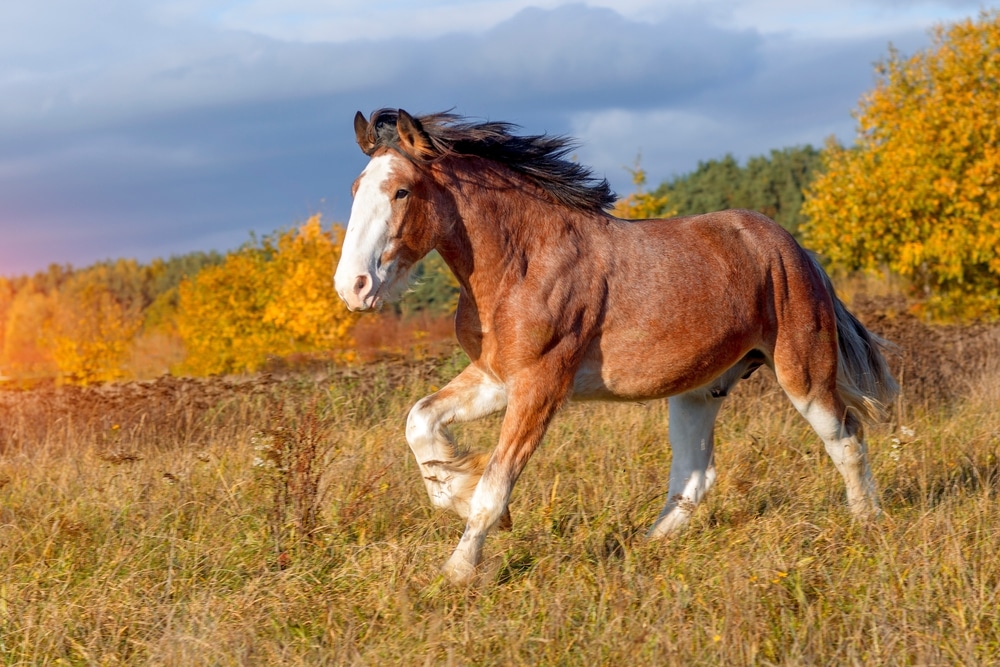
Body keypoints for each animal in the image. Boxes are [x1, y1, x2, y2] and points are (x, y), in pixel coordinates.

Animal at [334, 108, 900, 584]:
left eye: (402, 192)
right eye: (356, 188)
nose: (353, 287)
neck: (523, 262)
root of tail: (796, 250)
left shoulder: (541, 384)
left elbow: (496, 485)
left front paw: (457, 571)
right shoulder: (497, 378)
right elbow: (420, 419)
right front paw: (451, 489)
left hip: (802, 373)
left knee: (846, 438)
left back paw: (868, 525)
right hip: (697, 391)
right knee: (695, 476)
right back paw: (645, 549)